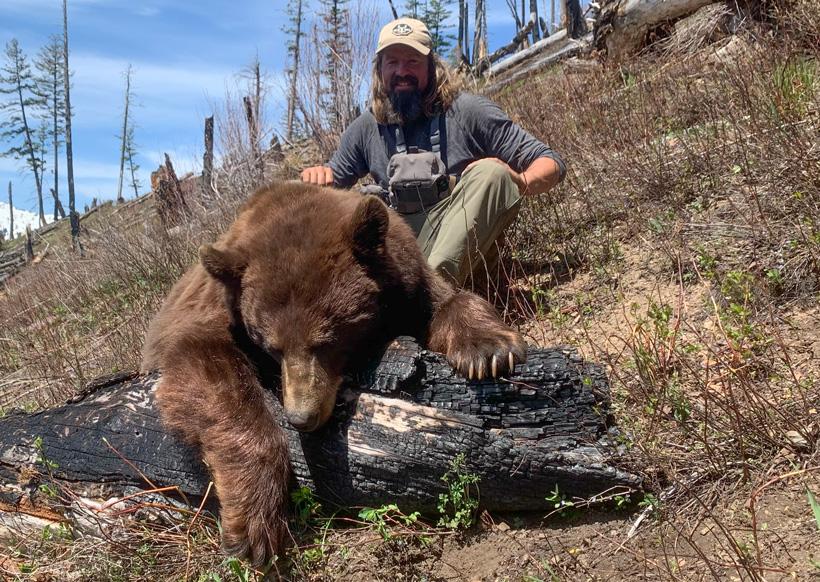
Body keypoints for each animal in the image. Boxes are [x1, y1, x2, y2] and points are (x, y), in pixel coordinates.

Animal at [141, 181, 527, 567]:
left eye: (327, 341)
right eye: (272, 347)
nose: (301, 416)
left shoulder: (408, 282)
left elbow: (446, 301)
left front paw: (488, 348)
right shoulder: (211, 312)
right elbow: (201, 365)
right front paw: (252, 525)